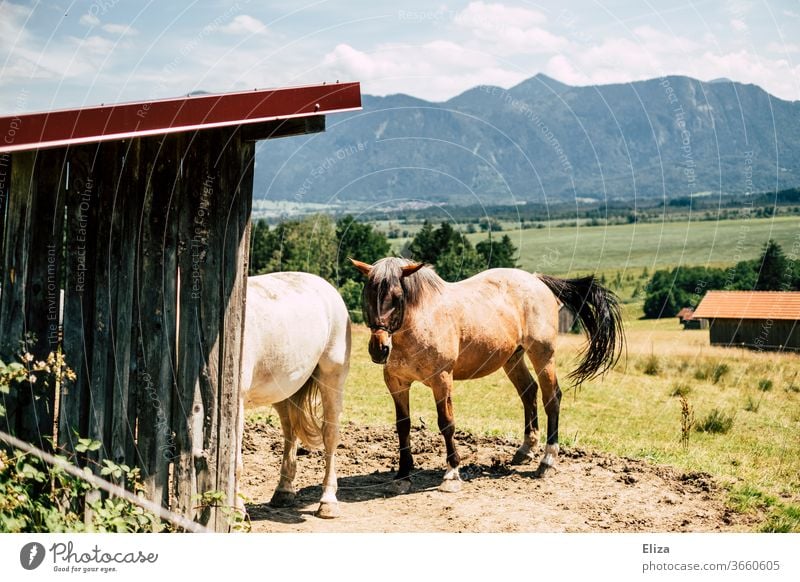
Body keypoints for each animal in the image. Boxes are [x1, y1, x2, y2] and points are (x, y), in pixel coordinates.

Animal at [238, 274, 350, 520]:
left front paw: (234, 510)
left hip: (332, 379)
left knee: (330, 435)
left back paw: (328, 502)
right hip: (283, 391)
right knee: (290, 431)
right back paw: (283, 492)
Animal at [350, 258, 624, 492]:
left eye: (397, 297)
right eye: (367, 295)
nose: (379, 349)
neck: (420, 323)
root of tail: (537, 281)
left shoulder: (442, 381)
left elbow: (446, 423)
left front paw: (452, 474)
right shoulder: (397, 383)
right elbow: (403, 426)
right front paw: (403, 475)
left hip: (543, 356)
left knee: (552, 398)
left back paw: (547, 461)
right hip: (513, 359)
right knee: (529, 392)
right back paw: (525, 450)